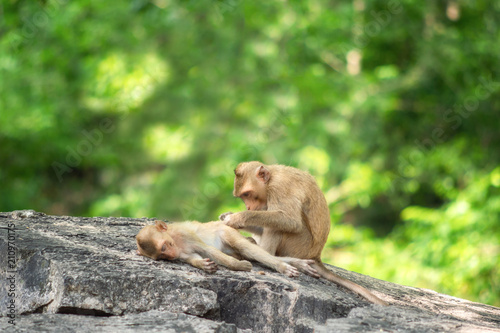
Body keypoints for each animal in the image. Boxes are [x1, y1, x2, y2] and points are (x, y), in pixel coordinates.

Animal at [137, 219, 316, 276]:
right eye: (162, 255)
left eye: (165, 246)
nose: (171, 254)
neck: (174, 238)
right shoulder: (180, 252)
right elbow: (192, 257)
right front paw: (204, 265)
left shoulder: (185, 234)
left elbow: (208, 250)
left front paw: (237, 266)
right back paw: (297, 263)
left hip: (227, 231)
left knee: (246, 248)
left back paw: (282, 266)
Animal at [221, 160, 388, 304]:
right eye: (242, 197)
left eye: (247, 194)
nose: (248, 207)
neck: (272, 177)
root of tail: (316, 255)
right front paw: (227, 216)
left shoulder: (280, 187)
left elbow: (291, 221)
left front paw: (236, 218)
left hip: (299, 245)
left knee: (278, 226)